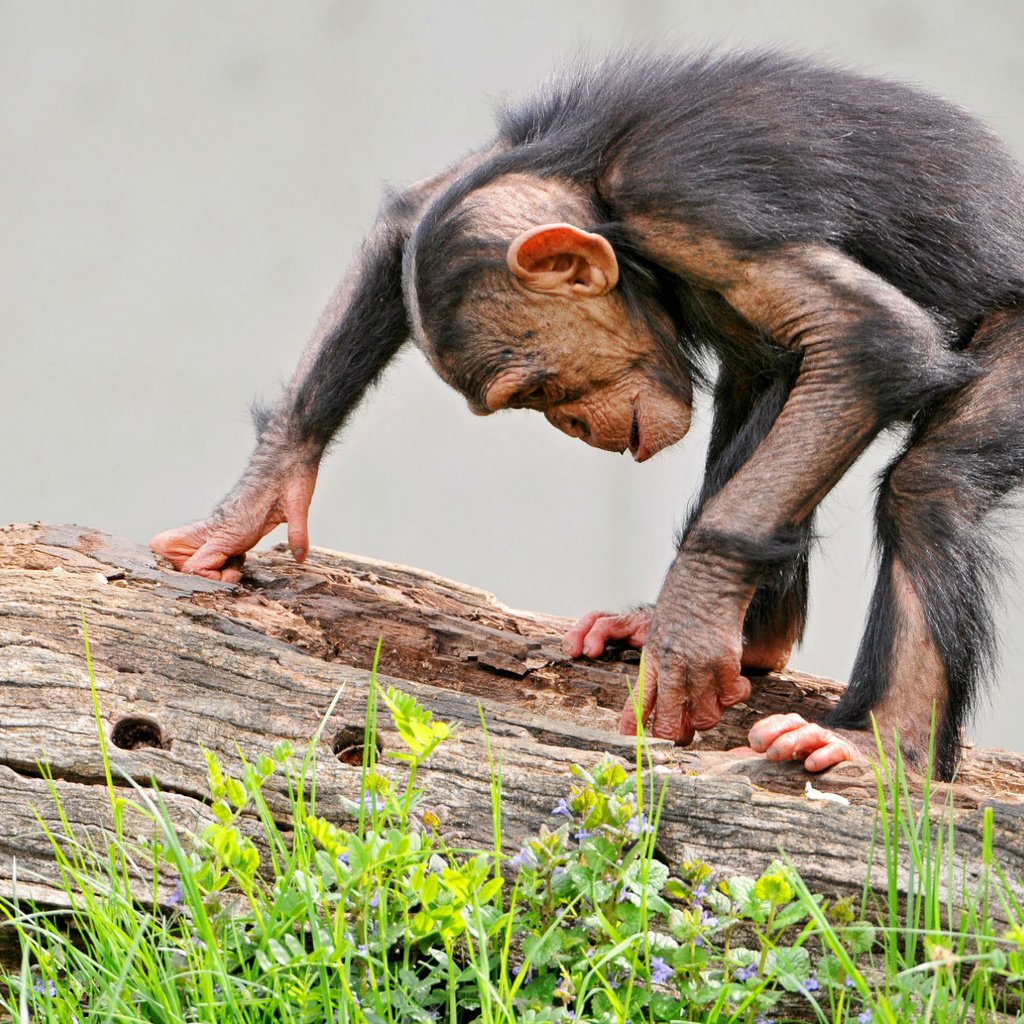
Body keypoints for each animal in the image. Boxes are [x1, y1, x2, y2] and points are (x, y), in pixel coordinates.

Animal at [149, 51, 1024, 774]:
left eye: (532, 390)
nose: (567, 423)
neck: (600, 189)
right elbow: (411, 216)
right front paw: (254, 499)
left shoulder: (688, 209)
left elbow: (868, 337)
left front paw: (690, 621)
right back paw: (755, 640)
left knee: (928, 488)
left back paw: (881, 747)